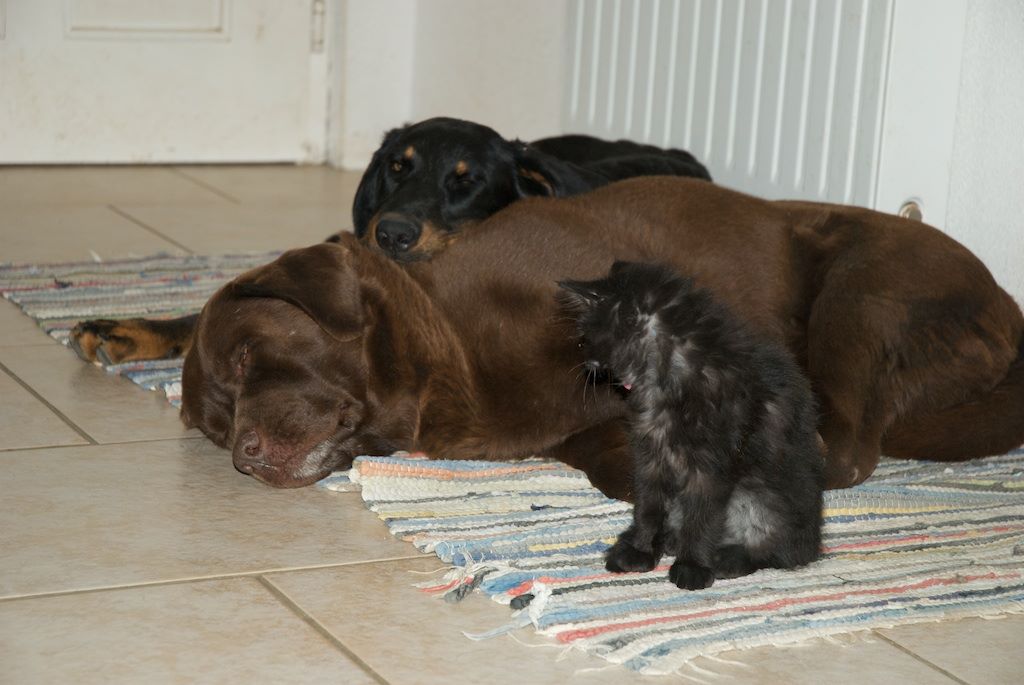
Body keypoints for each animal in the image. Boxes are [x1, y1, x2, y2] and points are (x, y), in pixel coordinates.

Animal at [180, 177, 1024, 500]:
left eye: (250, 355)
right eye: (216, 425)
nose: (244, 454)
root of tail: (1007, 307)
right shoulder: (577, 435)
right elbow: (612, 462)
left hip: (862, 288)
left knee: (845, 446)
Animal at [558, 261, 824, 590]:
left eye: (584, 340)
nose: (587, 364)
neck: (666, 381)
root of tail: (813, 539)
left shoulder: (710, 466)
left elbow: (701, 519)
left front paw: (693, 566)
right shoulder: (650, 456)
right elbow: (648, 508)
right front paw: (640, 549)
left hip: (761, 502)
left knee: (777, 551)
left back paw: (727, 558)